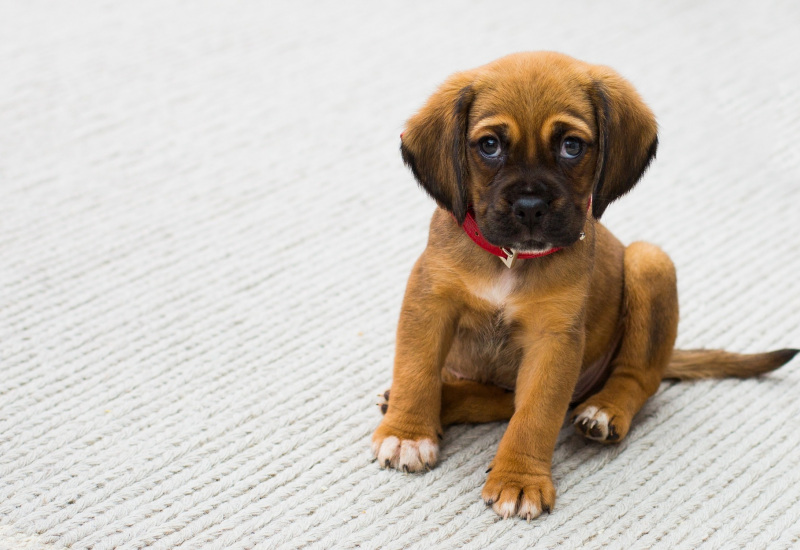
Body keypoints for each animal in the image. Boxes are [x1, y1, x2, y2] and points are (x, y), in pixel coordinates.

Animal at [372, 51, 796, 520]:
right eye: (490, 146)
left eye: (571, 146)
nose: (530, 207)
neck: (510, 260)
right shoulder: (429, 303)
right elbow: (416, 370)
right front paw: (408, 433)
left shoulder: (553, 341)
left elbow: (535, 415)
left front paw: (519, 479)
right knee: (497, 399)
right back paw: (438, 400)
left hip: (650, 262)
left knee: (637, 378)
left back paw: (605, 410)